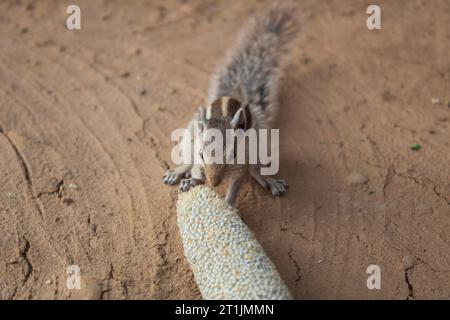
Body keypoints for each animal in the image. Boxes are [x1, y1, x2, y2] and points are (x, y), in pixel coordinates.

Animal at [162, 5, 298, 208]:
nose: (214, 183)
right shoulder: (198, 151)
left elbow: (236, 184)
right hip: (190, 132)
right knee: (188, 155)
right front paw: (192, 180)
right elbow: (196, 167)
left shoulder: (241, 162)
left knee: (256, 170)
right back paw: (178, 172)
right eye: (202, 154)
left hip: (261, 141)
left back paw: (269, 181)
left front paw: (228, 205)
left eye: (232, 154)